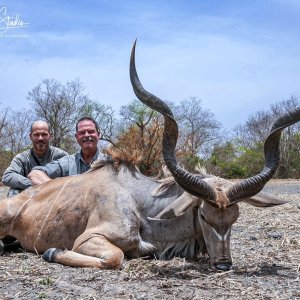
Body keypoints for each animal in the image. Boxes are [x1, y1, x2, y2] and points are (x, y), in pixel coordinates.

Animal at [0, 43, 298, 270]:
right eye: (203, 216)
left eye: (235, 218)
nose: (223, 263)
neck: (141, 203)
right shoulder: (90, 238)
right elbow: (115, 257)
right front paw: (52, 252)